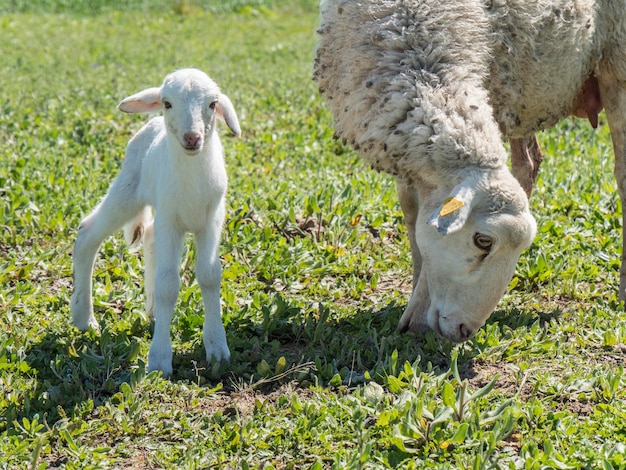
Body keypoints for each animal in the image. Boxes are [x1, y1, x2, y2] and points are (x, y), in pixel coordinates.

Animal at [69, 68, 240, 376]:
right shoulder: (170, 220)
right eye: (168, 103)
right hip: (129, 189)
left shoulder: (211, 219)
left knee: (148, 236)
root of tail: (153, 123)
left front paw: (217, 348)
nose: (192, 138)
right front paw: (159, 359)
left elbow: (209, 276)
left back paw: (151, 311)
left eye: (212, 104)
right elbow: (168, 284)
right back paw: (83, 317)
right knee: (88, 232)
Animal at [314, 1, 624, 344]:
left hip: (613, 64)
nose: (466, 331)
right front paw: (415, 291)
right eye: (483, 241)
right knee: (528, 164)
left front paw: (417, 315)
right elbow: (413, 214)